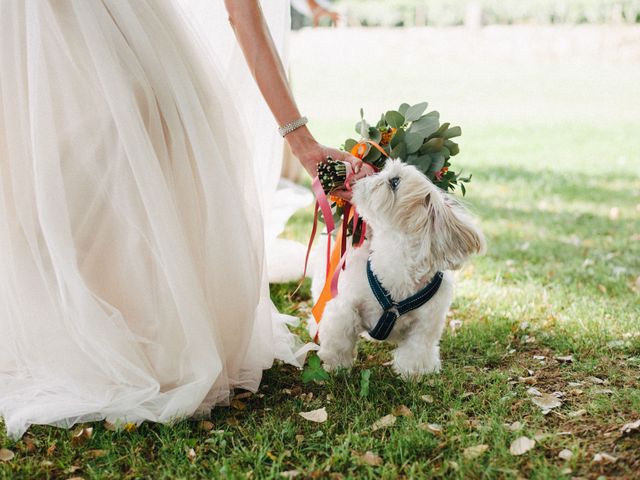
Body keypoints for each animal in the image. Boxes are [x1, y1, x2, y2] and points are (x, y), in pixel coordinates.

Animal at [316, 159, 484, 376]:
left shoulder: (426, 323)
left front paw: (414, 373)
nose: (368, 174)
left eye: (395, 181)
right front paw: (336, 364)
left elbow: (417, 348)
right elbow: (339, 336)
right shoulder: (344, 305)